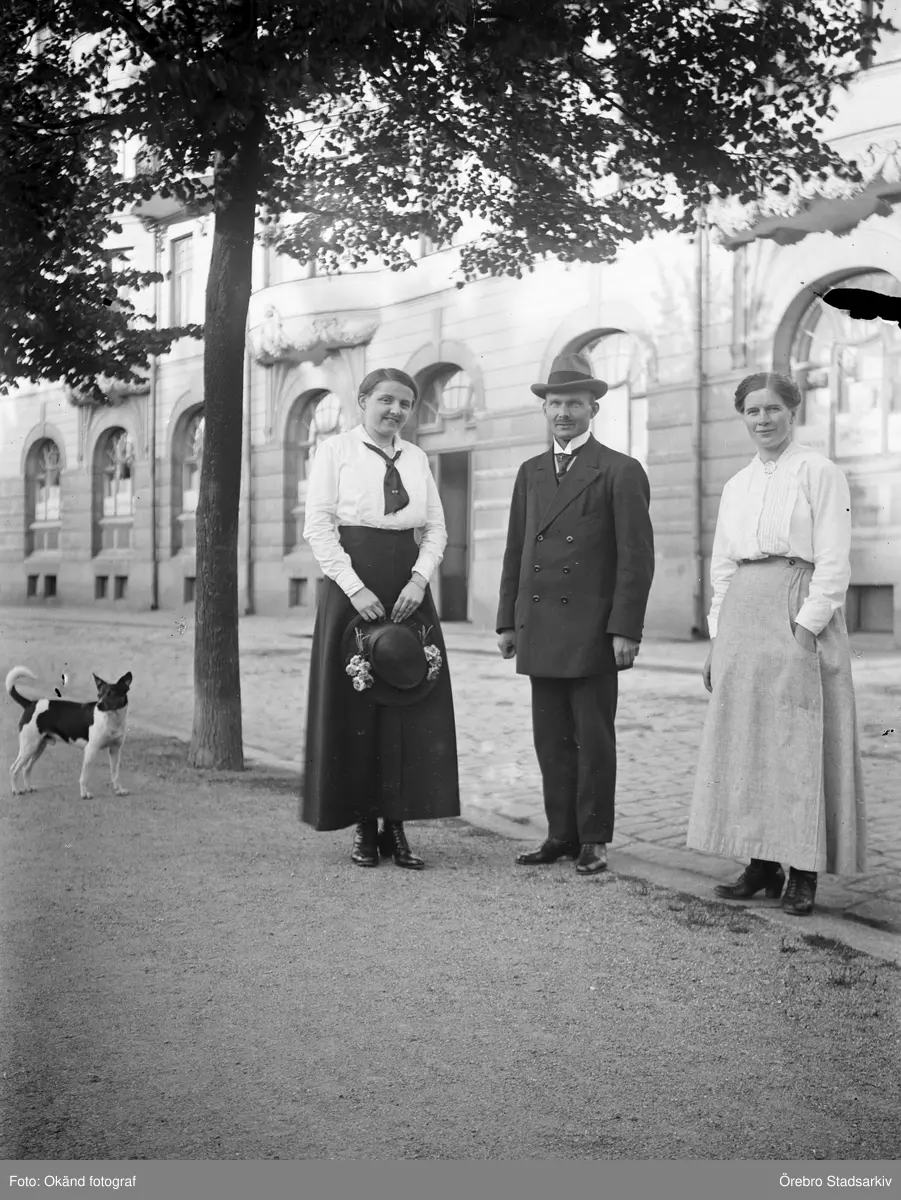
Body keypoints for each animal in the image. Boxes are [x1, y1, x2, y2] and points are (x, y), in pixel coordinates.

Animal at [6, 666, 132, 799]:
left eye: (111, 694)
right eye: (99, 694)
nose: (99, 705)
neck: (111, 718)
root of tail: (30, 704)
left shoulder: (115, 750)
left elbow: (115, 773)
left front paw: (119, 790)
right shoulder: (91, 750)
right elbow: (84, 776)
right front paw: (84, 793)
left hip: (38, 747)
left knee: (26, 768)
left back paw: (28, 787)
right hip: (29, 747)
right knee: (13, 769)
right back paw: (16, 790)